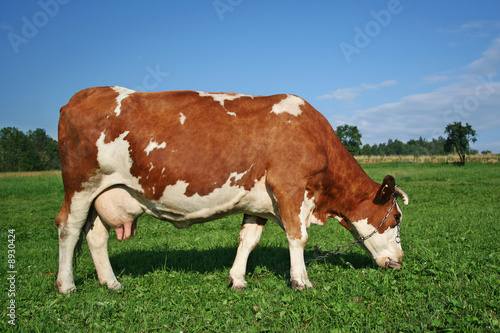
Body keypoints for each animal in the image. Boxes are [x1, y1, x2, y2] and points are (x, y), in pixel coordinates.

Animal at [54, 86, 408, 294]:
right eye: (396, 219)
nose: (401, 260)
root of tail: (80, 95)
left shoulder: (258, 200)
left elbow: (248, 240)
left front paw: (237, 279)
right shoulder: (290, 187)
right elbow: (298, 237)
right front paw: (301, 280)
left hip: (103, 193)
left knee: (95, 236)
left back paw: (111, 282)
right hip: (81, 185)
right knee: (68, 228)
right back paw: (66, 284)